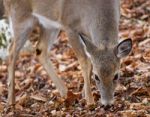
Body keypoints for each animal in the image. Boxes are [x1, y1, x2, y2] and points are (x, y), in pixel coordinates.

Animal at [0, 0, 132, 106]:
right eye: (96, 77)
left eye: (116, 75)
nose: (107, 104)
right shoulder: (69, 26)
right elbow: (85, 61)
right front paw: (90, 101)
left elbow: (89, 60)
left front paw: (84, 93)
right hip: (20, 17)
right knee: (12, 51)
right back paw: (11, 101)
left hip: (49, 24)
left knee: (40, 49)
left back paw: (65, 92)